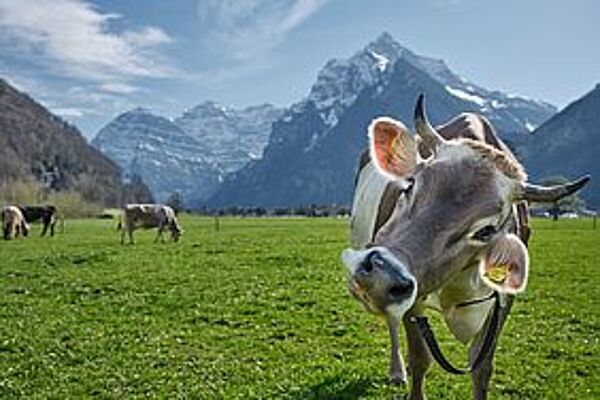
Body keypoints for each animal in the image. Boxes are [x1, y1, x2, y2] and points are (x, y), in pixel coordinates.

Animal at [340, 95, 588, 398]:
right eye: (409, 186)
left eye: (487, 230)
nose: (379, 276)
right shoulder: (412, 299)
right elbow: (420, 359)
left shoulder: (501, 303)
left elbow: (481, 369)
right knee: (392, 323)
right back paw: (397, 371)